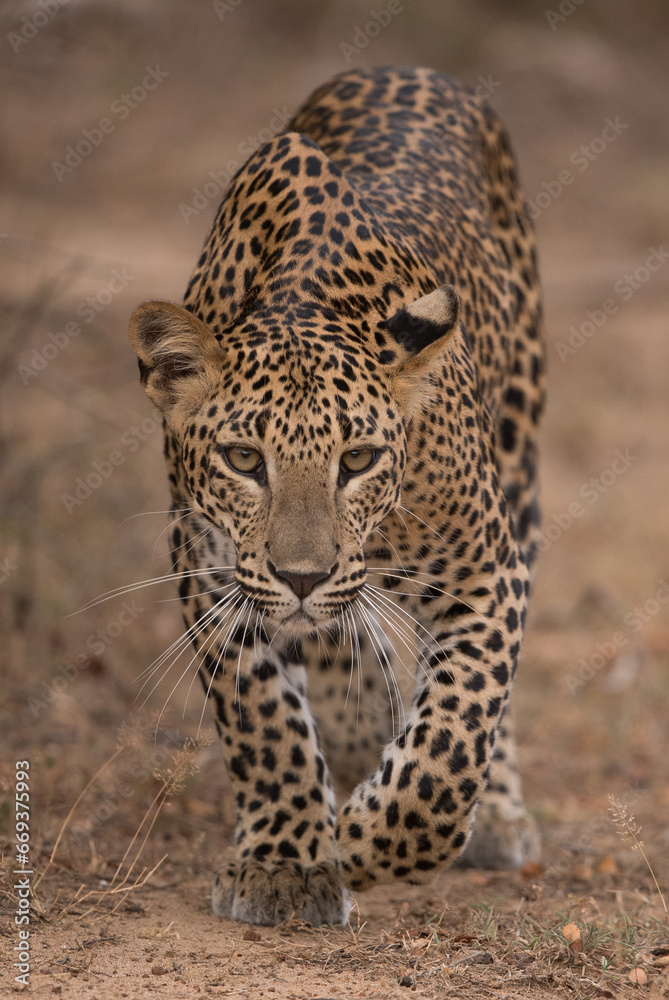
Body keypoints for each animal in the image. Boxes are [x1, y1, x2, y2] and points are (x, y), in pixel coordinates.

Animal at [128, 65, 545, 927]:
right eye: (243, 458)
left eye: (357, 459)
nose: (301, 576)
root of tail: (410, 69)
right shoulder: (209, 569)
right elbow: (262, 717)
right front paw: (285, 860)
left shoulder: (488, 572)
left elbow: (452, 740)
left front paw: (360, 841)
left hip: (522, 462)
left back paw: (495, 814)